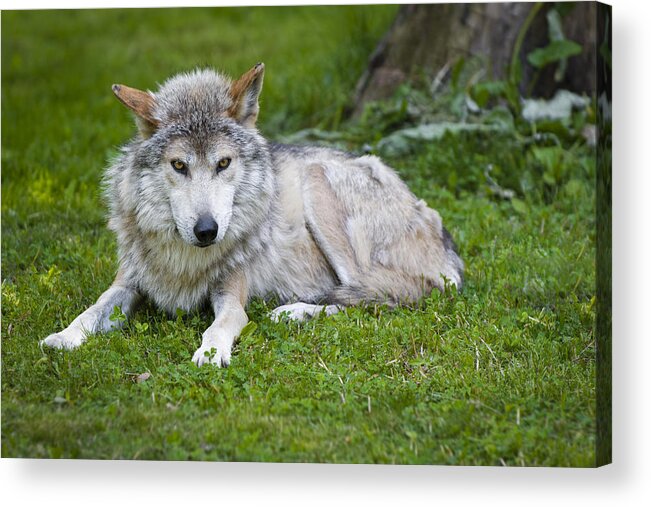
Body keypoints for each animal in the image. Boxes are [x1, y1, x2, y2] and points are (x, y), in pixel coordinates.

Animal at [40, 63, 466, 368]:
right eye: (179, 165)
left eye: (223, 163)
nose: (207, 230)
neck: (184, 261)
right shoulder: (128, 283)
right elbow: (92, 309)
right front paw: (62, 338)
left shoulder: (232, 295)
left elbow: (220, 326)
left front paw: (211, 354)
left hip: (318, 184)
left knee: (377, 297)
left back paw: (295, 312)